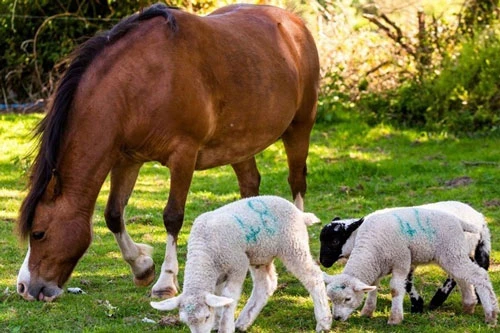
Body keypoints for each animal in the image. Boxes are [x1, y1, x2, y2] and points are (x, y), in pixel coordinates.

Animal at [16, 3, 320, 300]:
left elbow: (172, 216)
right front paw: (141, 267)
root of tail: (295, 23)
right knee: (250, 186)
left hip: (300, 127)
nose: (24, 288)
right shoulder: (126, 160)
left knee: (297, 181)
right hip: (241, 144)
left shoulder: (183, 156)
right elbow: (113, 214)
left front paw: (165, 280)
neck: (140, 84)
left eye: (39, 233)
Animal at [150, 195, 334, 332]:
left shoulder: (237, 265)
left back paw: (324, 321)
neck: (204, 255)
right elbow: (219, 297)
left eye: (206, 317)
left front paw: (225, 327)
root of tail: (300, 214)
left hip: (293, 245)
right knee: (265, 285)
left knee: (313, 277)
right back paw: (244, 321)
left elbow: (229, 297)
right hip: (260, 254)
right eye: (186, 322)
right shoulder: (218, 274)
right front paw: (218, 322)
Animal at [322, 206, 498, 326]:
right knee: (462, 277)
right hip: (451, 255)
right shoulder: (376, 266)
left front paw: (395, 319)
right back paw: (469, 306)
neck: (368, 247)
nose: (337, 318)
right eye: (330, 299)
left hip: (452, 251)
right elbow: (373, 288)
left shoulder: (401, 261)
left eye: (348, 298)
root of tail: (462, 221)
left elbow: (395, 289)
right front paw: (367, 312)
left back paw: (491, 314)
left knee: (479, 275)